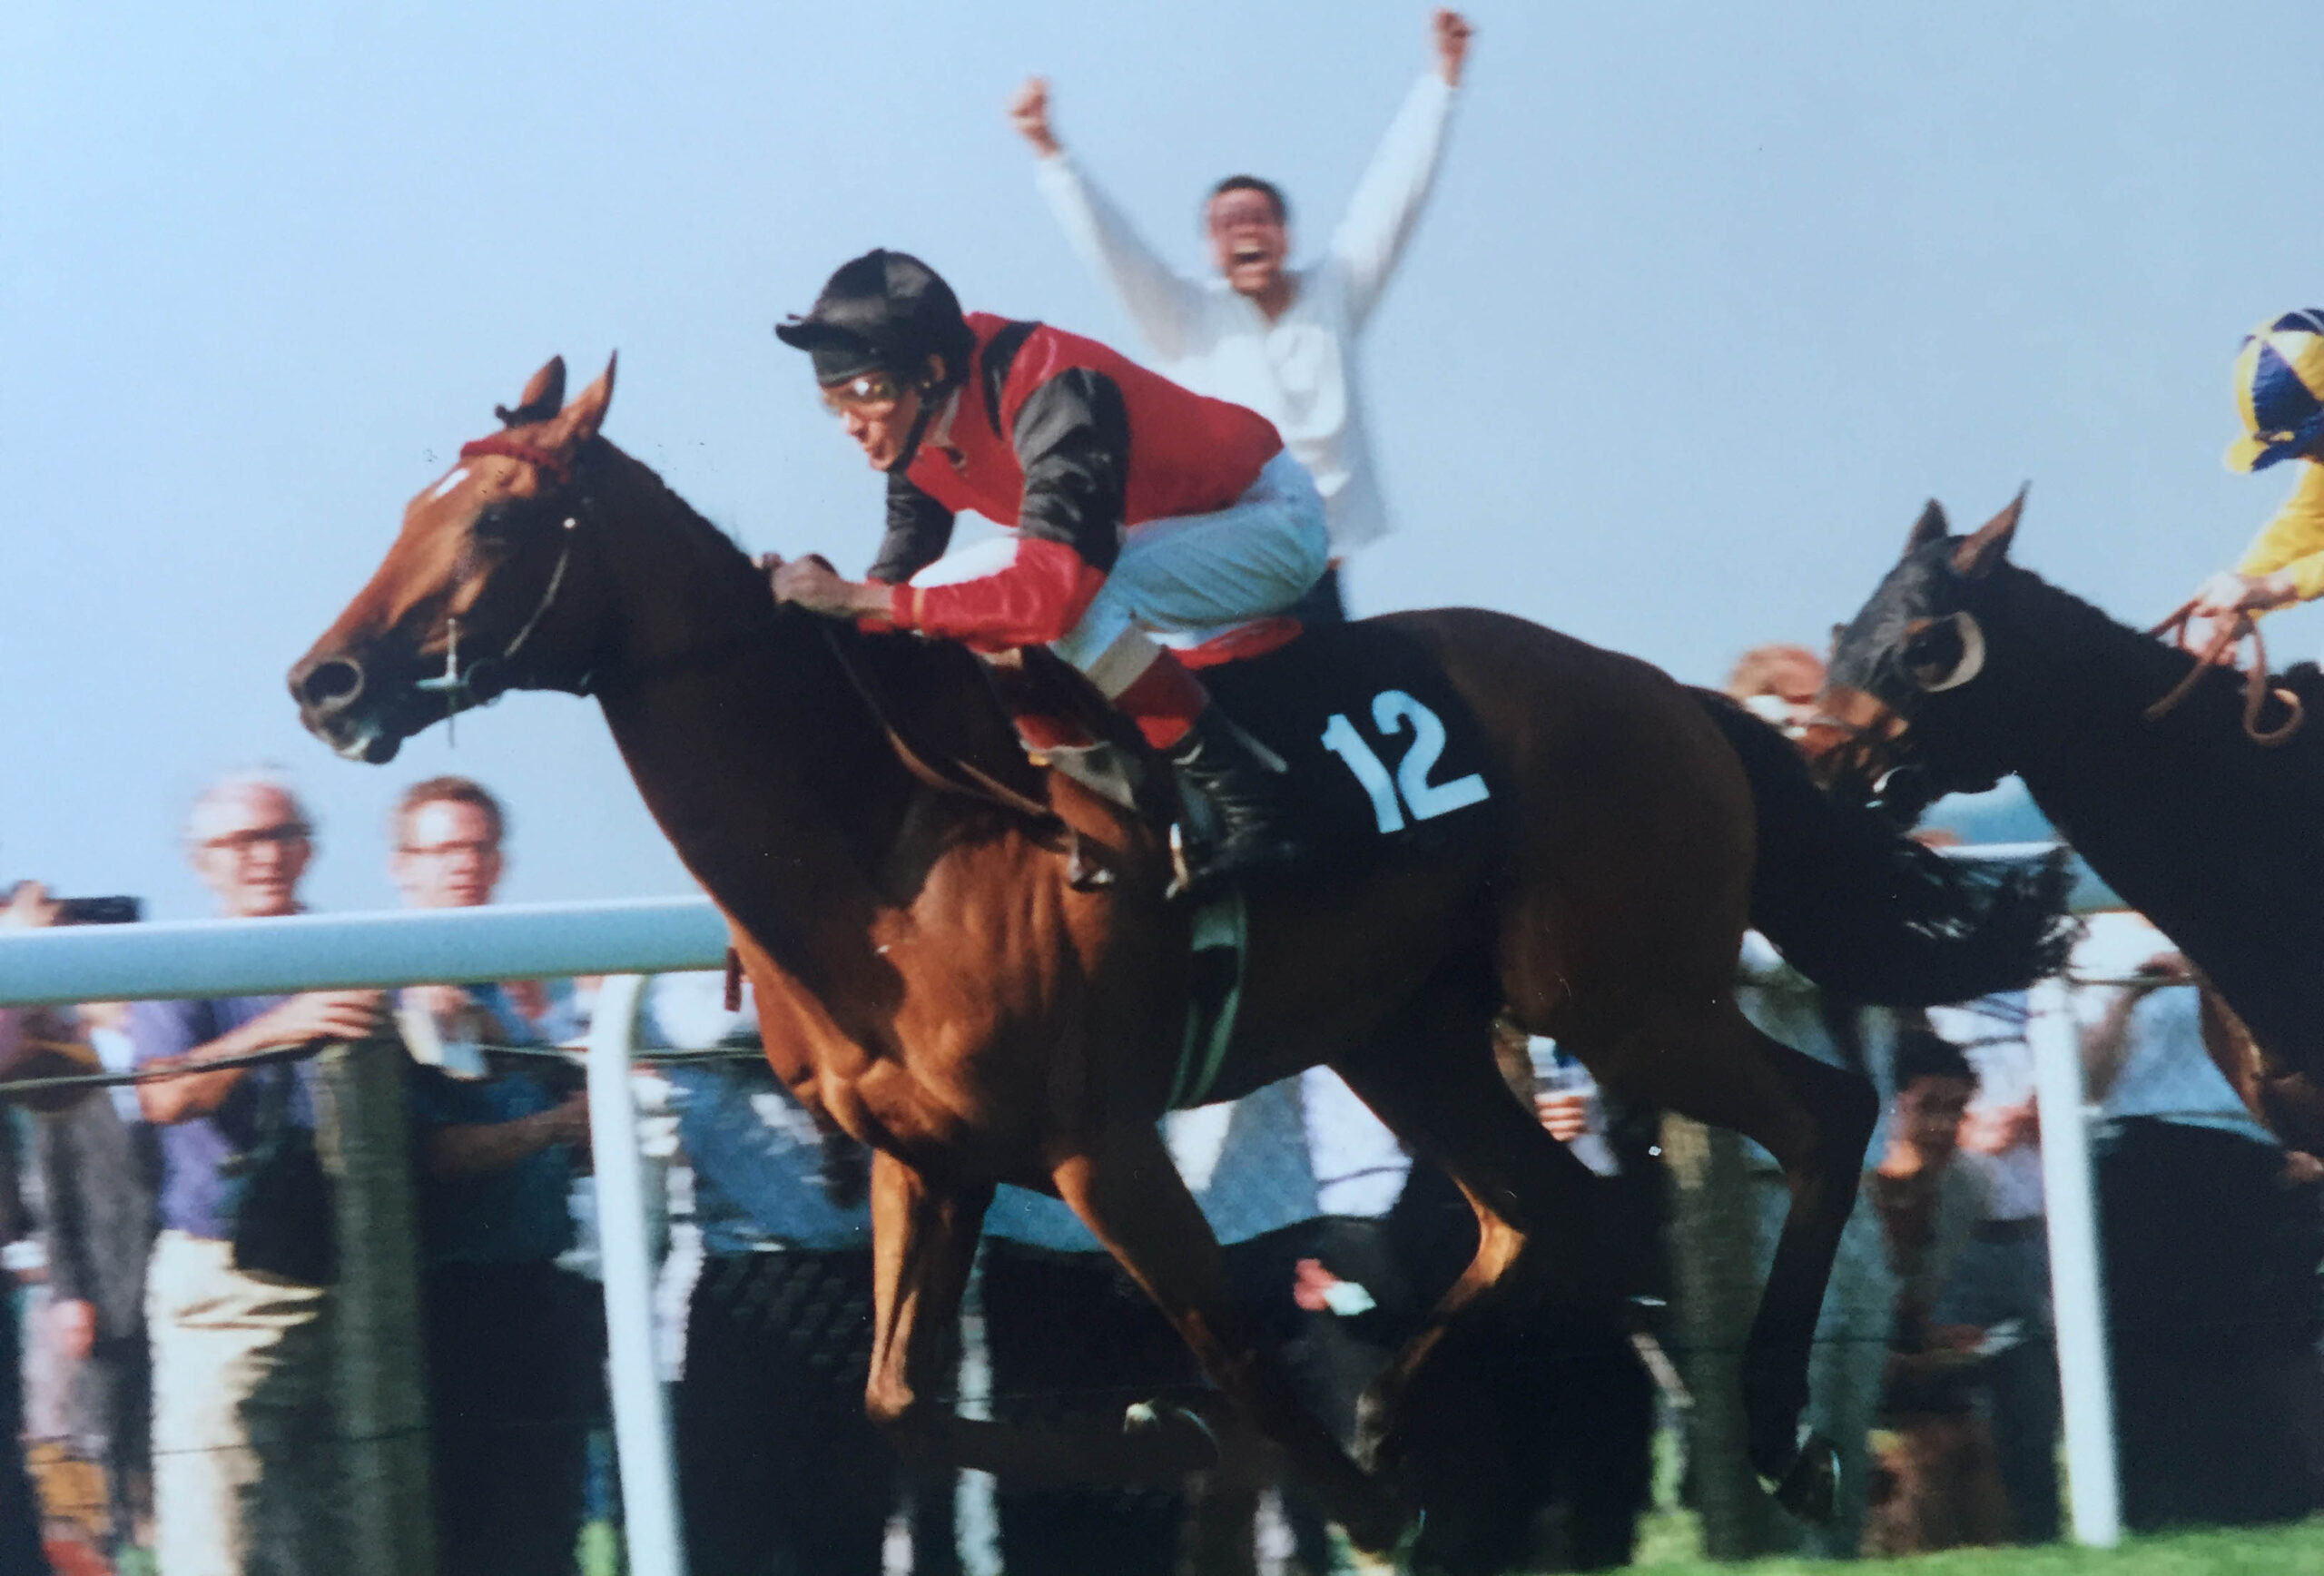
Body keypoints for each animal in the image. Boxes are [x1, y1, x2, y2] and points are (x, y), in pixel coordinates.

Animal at [285, 360, 2073, 1571]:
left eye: (499, 515)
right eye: (411, 507)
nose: (327, 681)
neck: (885, 836)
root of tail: (1678, 696)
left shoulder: (1098, 1144)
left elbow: (1225, 1345)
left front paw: (1320, 1484)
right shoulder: (924, 1159)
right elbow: (898, 1399)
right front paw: (1219, 1447)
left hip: (1617, 997)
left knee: (1819, 1120)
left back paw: (1769, 1429)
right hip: (1408, 1034)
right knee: (1541, 1214)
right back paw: (1409, 1413)